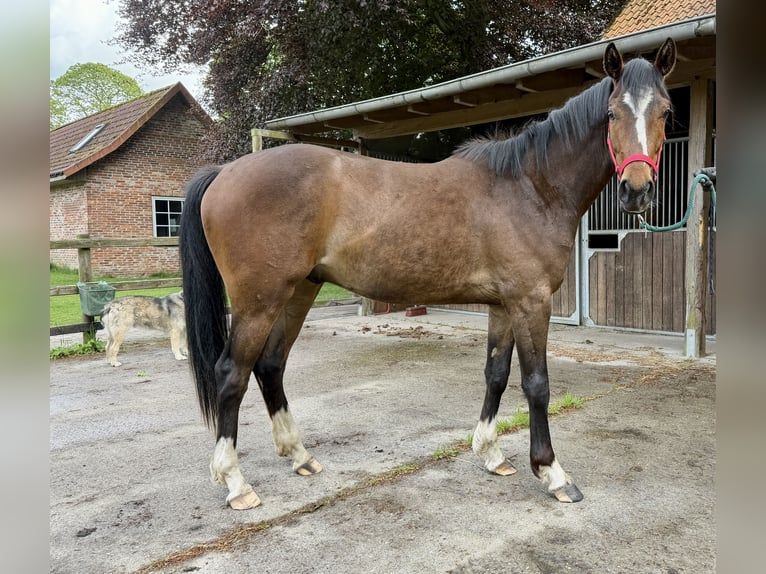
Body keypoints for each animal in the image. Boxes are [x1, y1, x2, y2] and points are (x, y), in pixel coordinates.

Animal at [179, 38, 677, 509]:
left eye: (666, 111)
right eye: (612, 113)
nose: (636, 191)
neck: (529, 187)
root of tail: (224, 171)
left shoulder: (503, 305)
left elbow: (496, 374)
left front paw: (491, 454)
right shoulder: (531, 301)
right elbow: (537, 385)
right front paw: (553, 474)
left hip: (299, 290)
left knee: (271, 365)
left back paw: (300, 456)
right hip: (258, 301)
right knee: (232, 375)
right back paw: (236, 483)